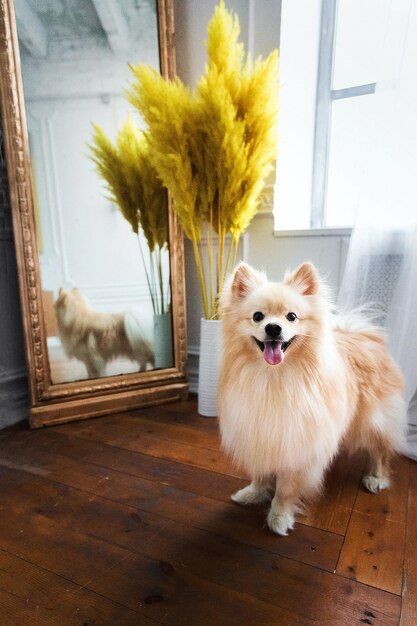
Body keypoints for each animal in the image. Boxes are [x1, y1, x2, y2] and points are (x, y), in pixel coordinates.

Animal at [218, 260, 406, 532]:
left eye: (291, 316)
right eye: (257, 316)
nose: (273, 327)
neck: (272, 378)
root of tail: (363, 334)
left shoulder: (297, 444)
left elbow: (285, 489)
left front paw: (279, 517)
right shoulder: (261, 434)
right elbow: (261, 472)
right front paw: (254, 493)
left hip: (373, 420)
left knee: (380, 449)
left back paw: (376, 478)